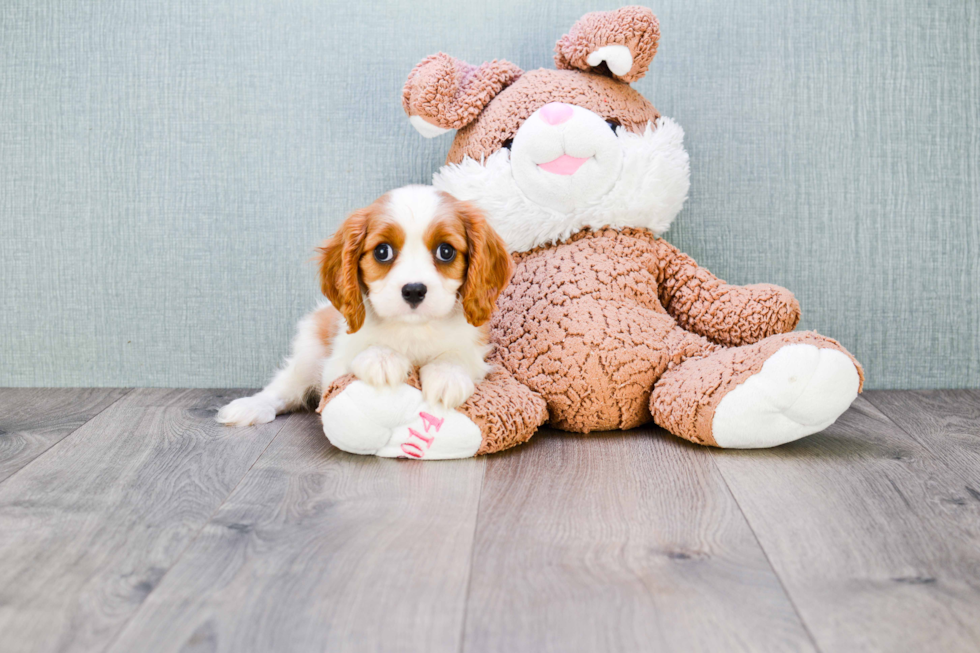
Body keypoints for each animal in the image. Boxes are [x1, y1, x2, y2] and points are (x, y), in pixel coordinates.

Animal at [216, 185, 512, 428]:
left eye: (446, 251)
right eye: (382, 252)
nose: (414, 290)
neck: (412, 330)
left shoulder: (474, 351)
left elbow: (456, 356)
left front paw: (446, 376)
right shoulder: (334, 368)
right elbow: (359, 353)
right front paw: (382, 359)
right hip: (308, 354)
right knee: (284, 387)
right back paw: (250, 407)